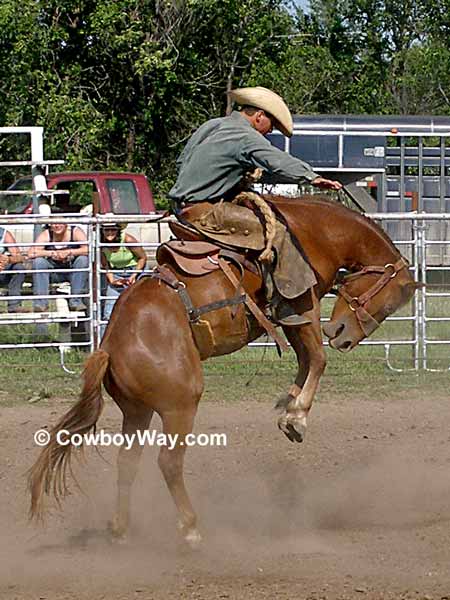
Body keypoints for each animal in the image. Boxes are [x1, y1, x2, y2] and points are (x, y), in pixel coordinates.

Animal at [28, 197, 418, 548]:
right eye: (387, 303)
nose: (342, 335)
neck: (313, 230)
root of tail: (109, 347)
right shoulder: (301, 302)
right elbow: (318, 359)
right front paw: (296, 418)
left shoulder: (289, 314)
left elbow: (307, 360)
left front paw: (288, 407)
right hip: (180, 405)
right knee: (169, 462)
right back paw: (190, 529)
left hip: (137, 410)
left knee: (128, 463)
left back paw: (120, 530)